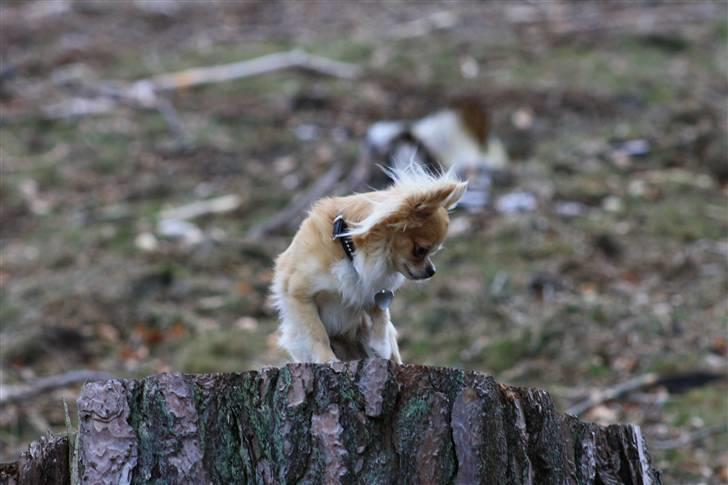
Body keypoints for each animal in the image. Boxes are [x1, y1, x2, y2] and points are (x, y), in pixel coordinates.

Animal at [272, 164, 466, 362]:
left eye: (432, 252)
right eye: (420, 251)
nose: (432, 271)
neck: (349, 250)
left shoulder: (372, 290)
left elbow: (381, 315)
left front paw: (380, 346)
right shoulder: (298, 294)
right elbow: (317, 332)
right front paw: (327, 359)